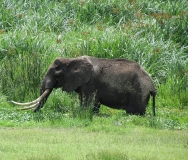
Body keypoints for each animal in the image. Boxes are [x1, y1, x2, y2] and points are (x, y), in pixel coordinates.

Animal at [11, 55, 156, 115]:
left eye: (55, 72)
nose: (33, 113)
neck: (71, 59)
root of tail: (152, 85)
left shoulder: (90, 82)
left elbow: (88, 102)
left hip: (138, 92)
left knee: (134, 111)